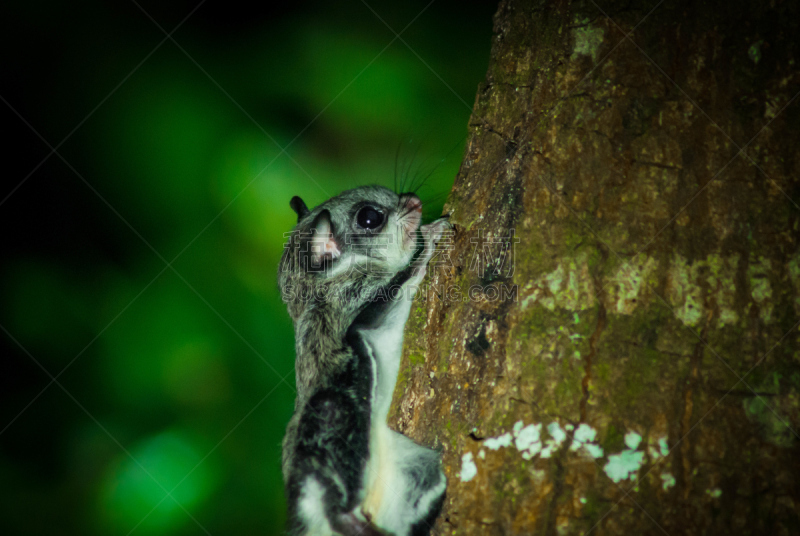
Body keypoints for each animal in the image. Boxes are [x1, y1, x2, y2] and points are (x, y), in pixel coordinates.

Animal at [278, 185, 450, 536]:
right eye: (370, 217)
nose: (414, 201)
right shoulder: (358, 305)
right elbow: (405, 275)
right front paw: (431, 236)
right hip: (334, 419)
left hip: (415, 469)